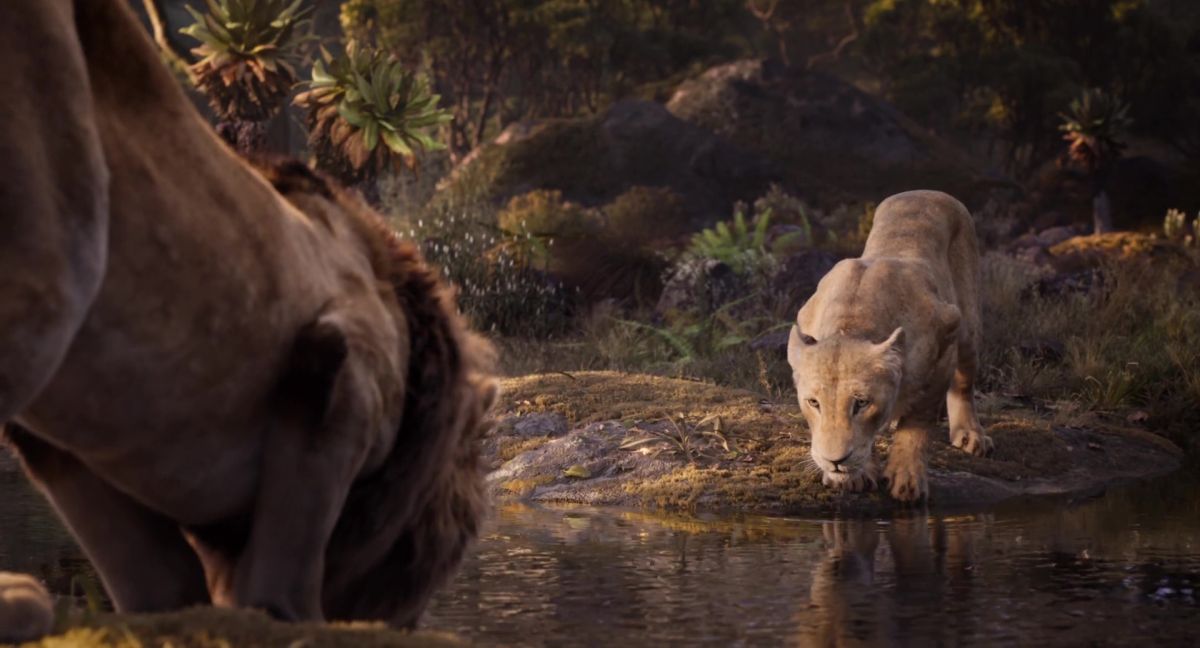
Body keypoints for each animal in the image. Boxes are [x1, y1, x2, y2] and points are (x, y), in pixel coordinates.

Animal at [0, 0, 494, 630]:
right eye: (463, 524)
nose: (413, 613)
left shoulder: (72, 456)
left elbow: (153, 579)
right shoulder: (349, 385)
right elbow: (283, 571)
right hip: (55, 248)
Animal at [787, 190, 993, 502]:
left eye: (861, 403)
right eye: (813, 403)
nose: (835, 461)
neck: (852, 322)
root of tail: (926, 191)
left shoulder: (945, 334)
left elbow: (917, 422)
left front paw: (906, 478)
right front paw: (854, 476)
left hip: (968, 324)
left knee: (964, 382)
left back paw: (971, 435)